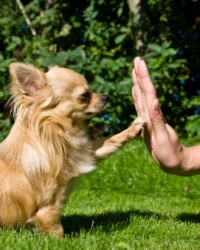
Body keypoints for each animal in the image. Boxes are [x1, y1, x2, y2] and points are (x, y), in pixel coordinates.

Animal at [0, 63, 144, 236]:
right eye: (84, 96)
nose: (106, 96)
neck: (58, 135)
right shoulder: (48, 206)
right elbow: (56, 228)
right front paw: (62, 240)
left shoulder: (84, 153)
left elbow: (111, 140)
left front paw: (134, 127)